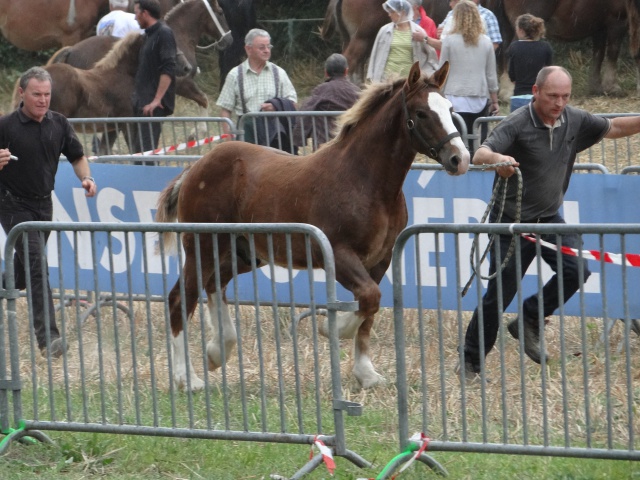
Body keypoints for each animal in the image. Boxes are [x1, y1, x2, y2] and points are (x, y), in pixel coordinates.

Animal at [152, 62, 468, 394]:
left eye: (449, 109)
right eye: (421, 113)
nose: (459, 159)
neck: (366, 181)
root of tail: (194, 168)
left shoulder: (380, 259)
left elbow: (369, 311)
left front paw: (366, 373)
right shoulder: (339, 254)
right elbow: (368, 299)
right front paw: (332, 327)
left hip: (243, 252)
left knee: (215, 284)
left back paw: (217, 350)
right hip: (201, 246)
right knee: (180, 299)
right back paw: (187, 378)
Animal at [484, 0, 640, 95]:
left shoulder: (599, 26)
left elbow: (599, 54)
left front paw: (596, 87)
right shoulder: (618, 21)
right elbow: (613, 52)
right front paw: (612, 87)